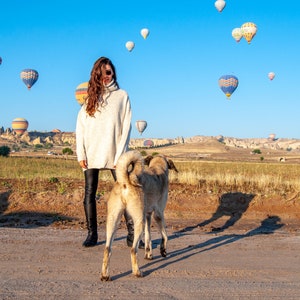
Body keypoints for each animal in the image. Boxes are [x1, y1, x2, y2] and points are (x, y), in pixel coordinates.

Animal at [100, 150, 178, 282]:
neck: (158, 168)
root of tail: (126, 180)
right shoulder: (158, 214)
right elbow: (165, 235)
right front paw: (163, 250)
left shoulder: (147, 215)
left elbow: (148, 237)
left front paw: (149, 254)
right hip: (138, 222)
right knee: (133, 250)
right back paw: (137, 272)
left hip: (113, 221)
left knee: (107, 249)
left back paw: (105, 275)